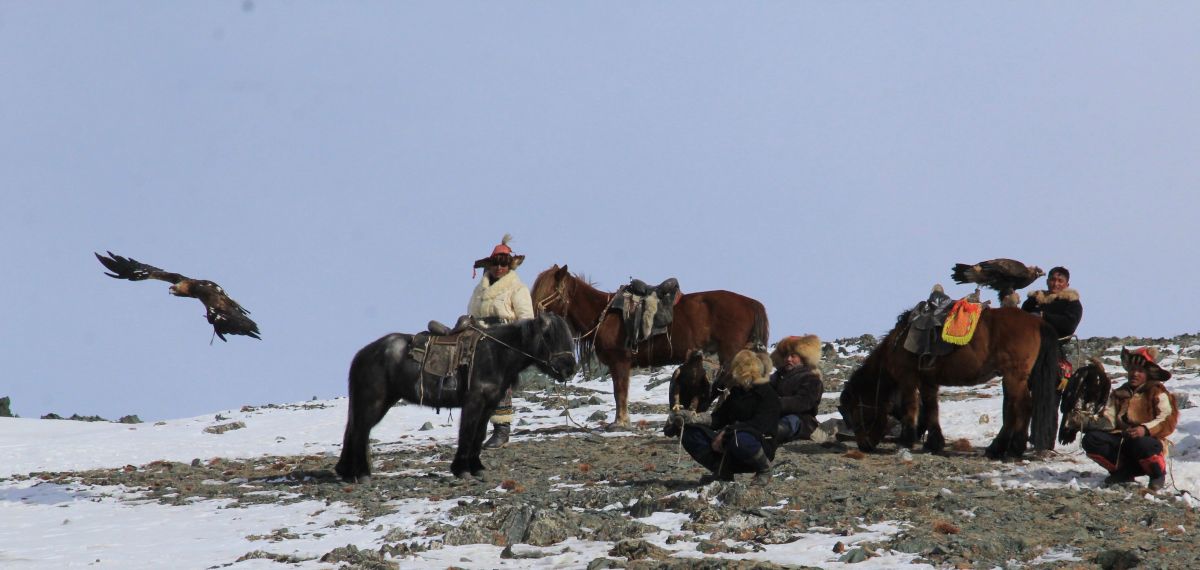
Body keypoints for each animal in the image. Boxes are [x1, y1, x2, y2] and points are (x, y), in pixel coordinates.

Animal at [336, 314, 578, 484]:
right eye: (549, 336)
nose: (569, 368)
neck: (495, 354)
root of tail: (363, 354)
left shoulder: (489, 405)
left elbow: (479, 435)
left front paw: (476, 467)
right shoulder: (474, 402)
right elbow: (468, 433)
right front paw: (462, 470)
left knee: (355, 431)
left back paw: (347, 473)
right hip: (373, 401)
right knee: (361, 432)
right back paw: (362, 474)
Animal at [532, 262, 768, 427]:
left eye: (547, 290)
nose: (534, 318)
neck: (604, 314)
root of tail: (751, 303)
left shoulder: (620, 361)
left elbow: (620, 392)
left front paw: (620, 423)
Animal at [835, 307, 1060, 460]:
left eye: (855, 412)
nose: (864, 446)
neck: (897, 344)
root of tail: (1037, 322)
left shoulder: (908, 379)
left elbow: (911, 407)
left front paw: (907, 440)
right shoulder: (928, 382)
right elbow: (931, 409)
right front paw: (933, 443)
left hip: (1014, 376)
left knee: (1020, 408)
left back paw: (1007, 448)